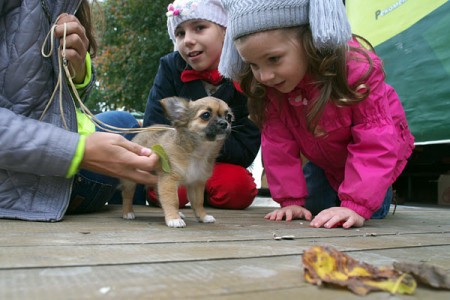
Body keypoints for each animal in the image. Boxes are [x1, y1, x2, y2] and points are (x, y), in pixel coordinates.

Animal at [120, 96, 232, 227]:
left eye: (229, 117)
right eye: (206, 115)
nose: (224, 123)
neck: (198, 152)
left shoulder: (196, 182)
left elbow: (198, 202)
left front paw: (203, 216)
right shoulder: (169, 179)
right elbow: (173, 200)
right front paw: (173, 219)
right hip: (130, 180)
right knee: (127, 195)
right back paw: (128, 212)